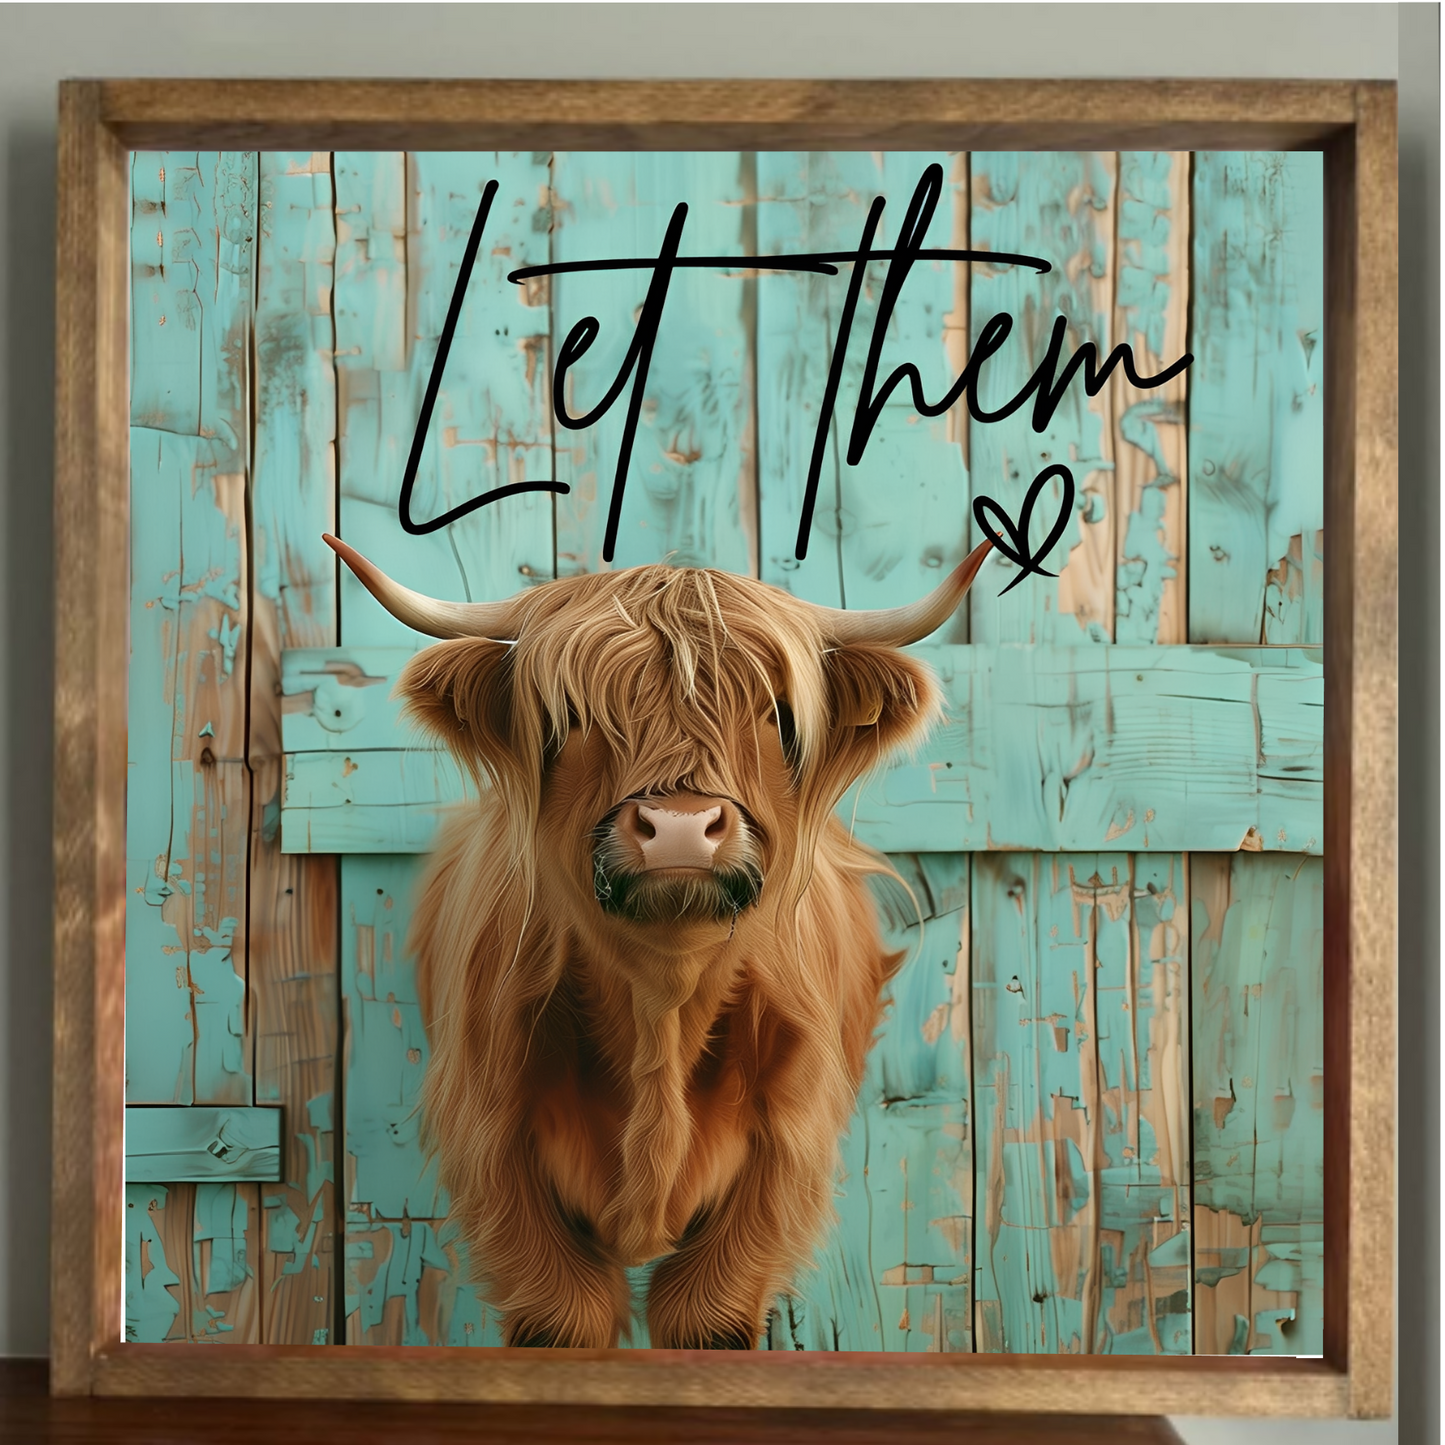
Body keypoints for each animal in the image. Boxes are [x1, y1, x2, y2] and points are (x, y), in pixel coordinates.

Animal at [324, 532, 991, 1350]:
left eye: (777, 715)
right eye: (571, 715)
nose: (679, 827)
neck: (661, 1004)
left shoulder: (785, 1151)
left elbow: (706, 1315)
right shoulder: (492, 1142)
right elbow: (563, 1315)